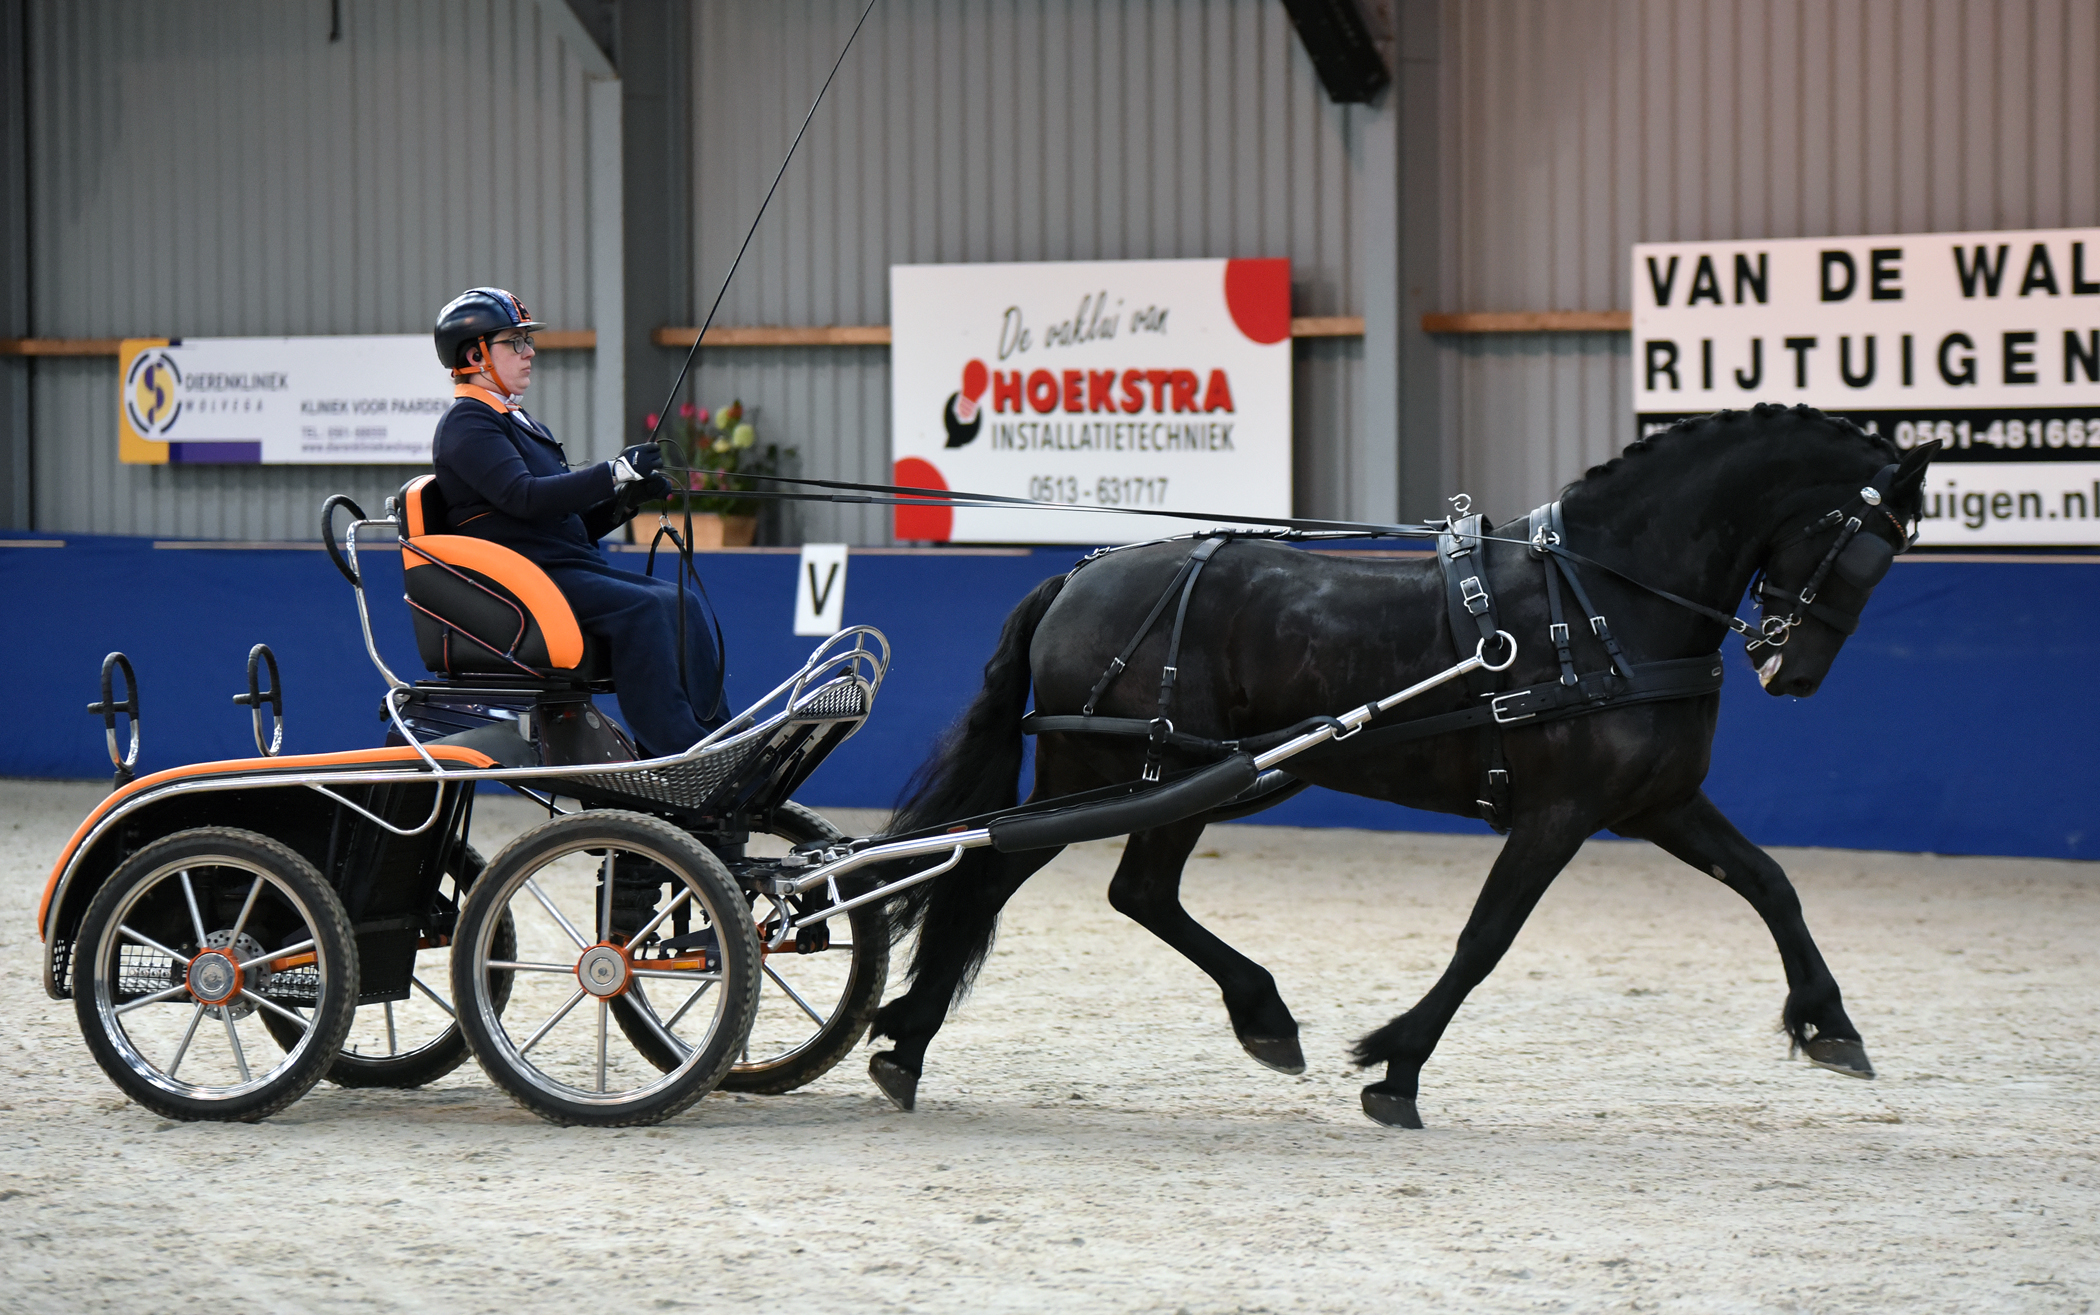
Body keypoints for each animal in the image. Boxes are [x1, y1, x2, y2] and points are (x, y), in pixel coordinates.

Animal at [865, 405, 1931, 1117]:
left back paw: (918, 1044)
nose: (1792, 670)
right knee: (1066, 879)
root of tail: (1078, 576)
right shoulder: (1559, 812)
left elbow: (1770, 883)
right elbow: (1485, 938)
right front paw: (1398, 1066)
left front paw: (1831, 1024)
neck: (1602, 602)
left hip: (1144, 778)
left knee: (1051, 882)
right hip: (1134, 774)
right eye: (1868, 548)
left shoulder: (1658, 803)